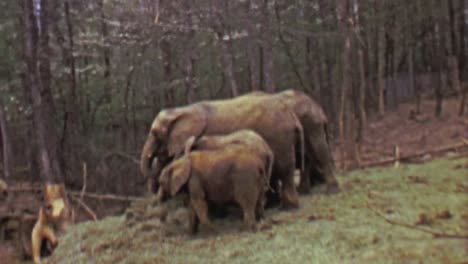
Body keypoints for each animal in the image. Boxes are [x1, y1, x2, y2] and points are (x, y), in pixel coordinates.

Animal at [139, 95, 302, 208]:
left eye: (155, 133)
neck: (182, 110)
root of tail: (292, 116)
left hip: (280, 139)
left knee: (285, 170)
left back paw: (287, 207)